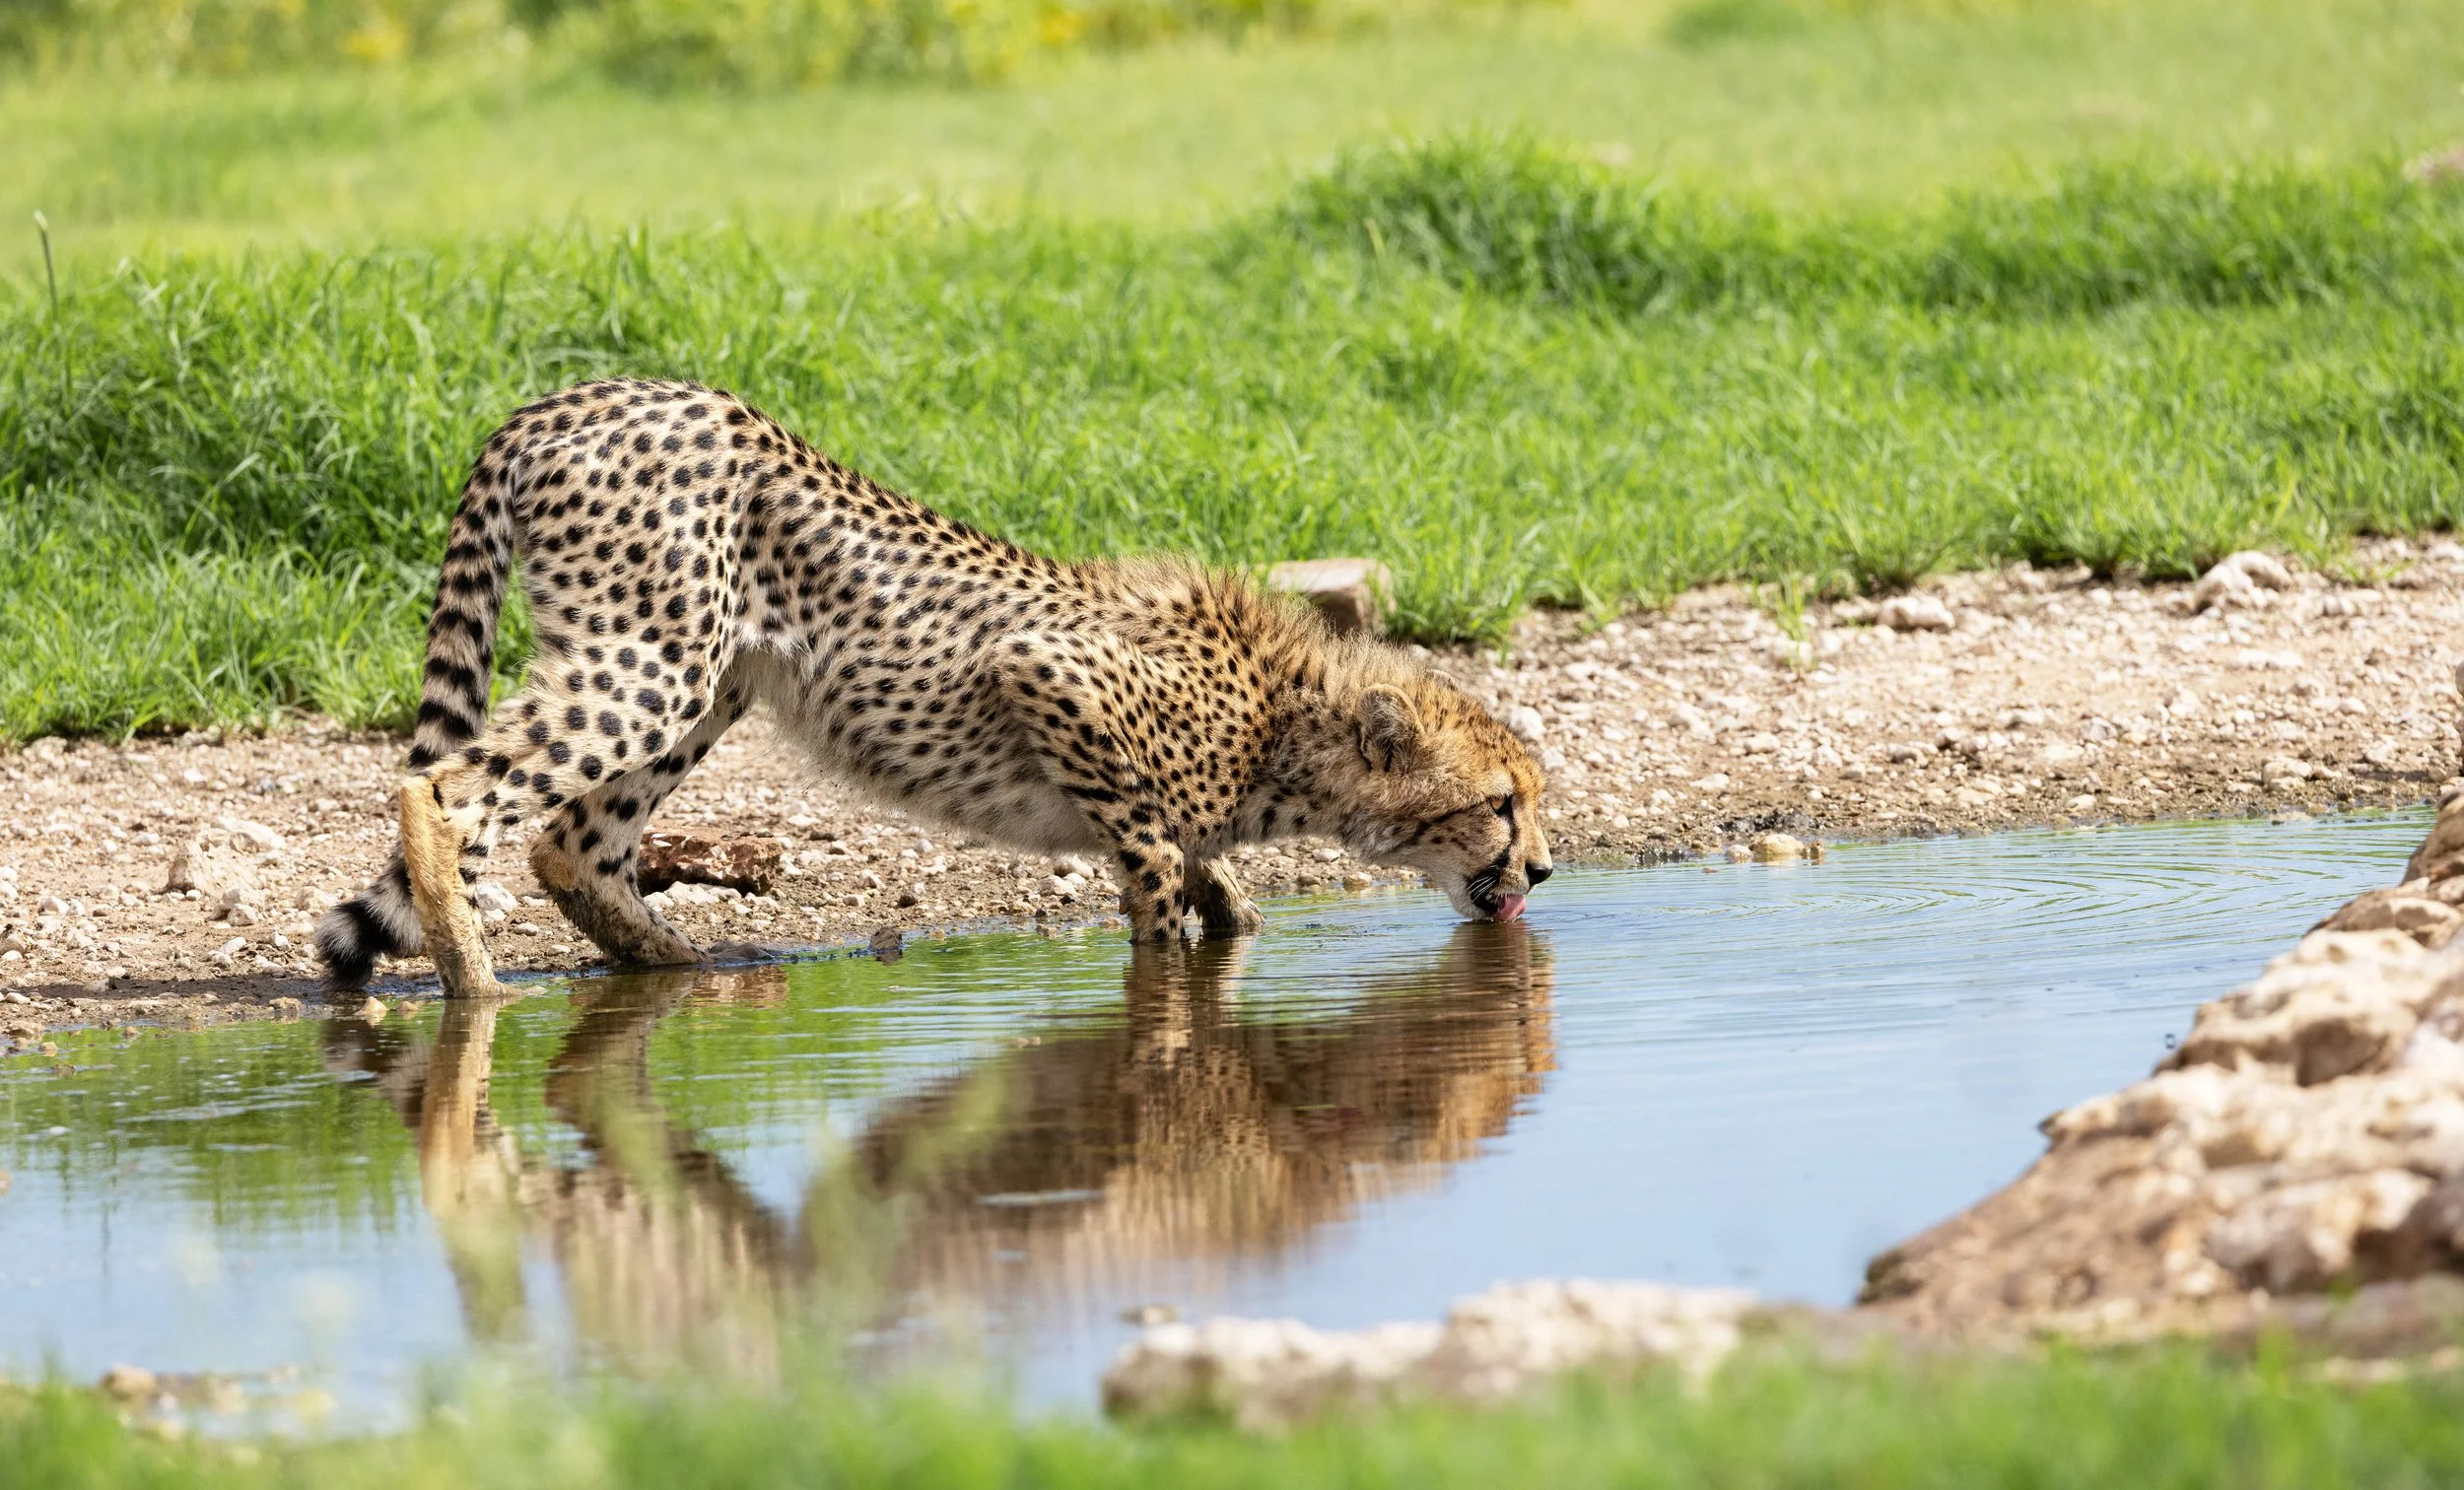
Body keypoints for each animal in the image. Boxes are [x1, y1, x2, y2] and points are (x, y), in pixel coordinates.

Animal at [317, 378, 1553, 998]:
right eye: (1501, 803)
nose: (1542, 867)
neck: (1288, 722)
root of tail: (573, 395)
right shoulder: (1050, 676)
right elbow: (1154, 875)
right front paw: (1169, 963)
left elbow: (1214, 881)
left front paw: (1233, 917)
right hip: (653, 664)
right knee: (446, 788)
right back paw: (476, 980)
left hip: (713, 678)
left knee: (572, 840)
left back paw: (675, 964)